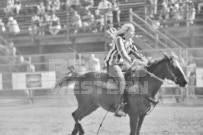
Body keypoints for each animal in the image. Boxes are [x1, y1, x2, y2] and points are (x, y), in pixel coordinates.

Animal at [55, 54, 187, 135]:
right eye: (174, 66)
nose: (185, 81)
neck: (144, 85)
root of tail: (79, 75)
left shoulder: (142, 115)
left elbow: (137, 132)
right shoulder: (134, 115)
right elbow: (133, 132)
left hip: (92, 106)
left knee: (77, 117)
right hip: (85, 105)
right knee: (75, 115)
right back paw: (82, 130)